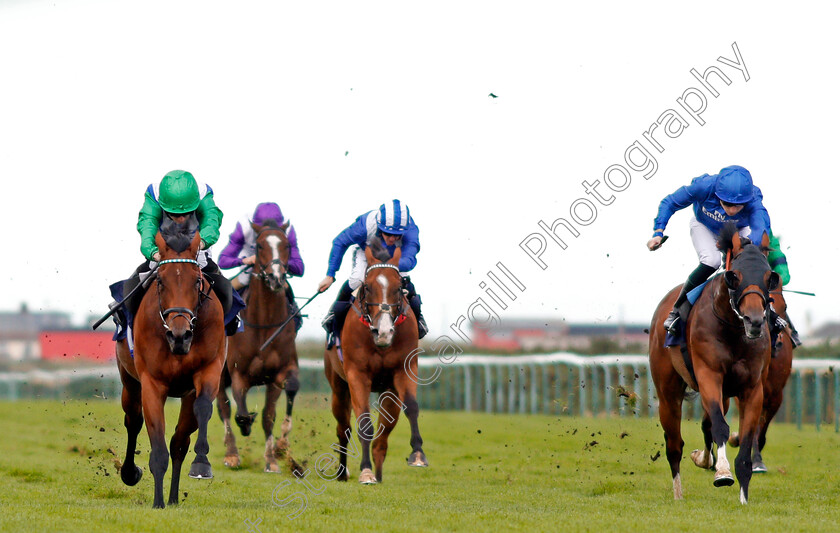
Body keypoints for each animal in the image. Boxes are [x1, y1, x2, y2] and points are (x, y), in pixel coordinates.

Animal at [215, 219, 300, 470]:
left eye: (287, 245)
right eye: (260, 246)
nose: (275, 277)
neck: (264, 325)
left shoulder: (278, 374)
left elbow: (270, 414)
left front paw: (275, 454)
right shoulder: (238, 373)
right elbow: (239, 410)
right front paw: (244, 427)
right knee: (223, 407)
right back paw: (231, 453)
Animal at [322, 243, 426, 484]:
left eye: (399, 287)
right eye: (368, 287)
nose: (384, 331)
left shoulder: (404, 370)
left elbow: (411, 407)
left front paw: (417, 454)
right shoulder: (357, 374)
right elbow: (364, 424)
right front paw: (366, 471)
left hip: (388, 391)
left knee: (383, 435)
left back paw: (378, 473)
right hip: (338, 387)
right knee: (344, 429)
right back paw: (343, 471)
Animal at [648, 222, 780, 504]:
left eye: (769, 278)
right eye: (735, 276)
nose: (754, 321)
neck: (732, 329)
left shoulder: (752, 388)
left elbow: (745, 437)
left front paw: (743, 497)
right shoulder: (709, 375)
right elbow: (721, 427)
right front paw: (722, 473)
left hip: (726, 394)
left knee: (705, 425)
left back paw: (703, 459)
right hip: (668, 393)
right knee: (674, 444)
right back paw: (678, 494)